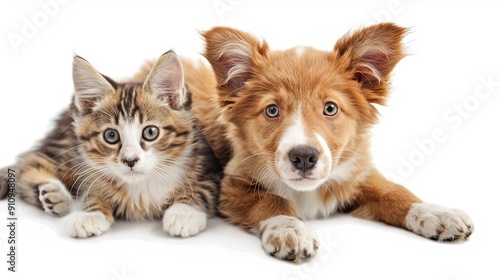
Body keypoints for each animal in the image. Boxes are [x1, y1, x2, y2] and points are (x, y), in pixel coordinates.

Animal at [0, 50, 221, 238]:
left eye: (151, 132)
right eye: (111, 136)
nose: (130, 160)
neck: (142, 184)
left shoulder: (210, 170)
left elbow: (200, 191)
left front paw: (184, 213)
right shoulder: (90, 172)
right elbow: (93, 194)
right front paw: (90, 215)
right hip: (68, 151)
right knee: (31, 161)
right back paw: (54, 193)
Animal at [186, 23, 474, 262]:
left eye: (330, 108)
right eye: (272, 110)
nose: (303, 157)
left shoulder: (358, 172)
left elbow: (393, 191)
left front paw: (434, 212)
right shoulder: (232, 185)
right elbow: (270, 200)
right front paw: (289, 228)